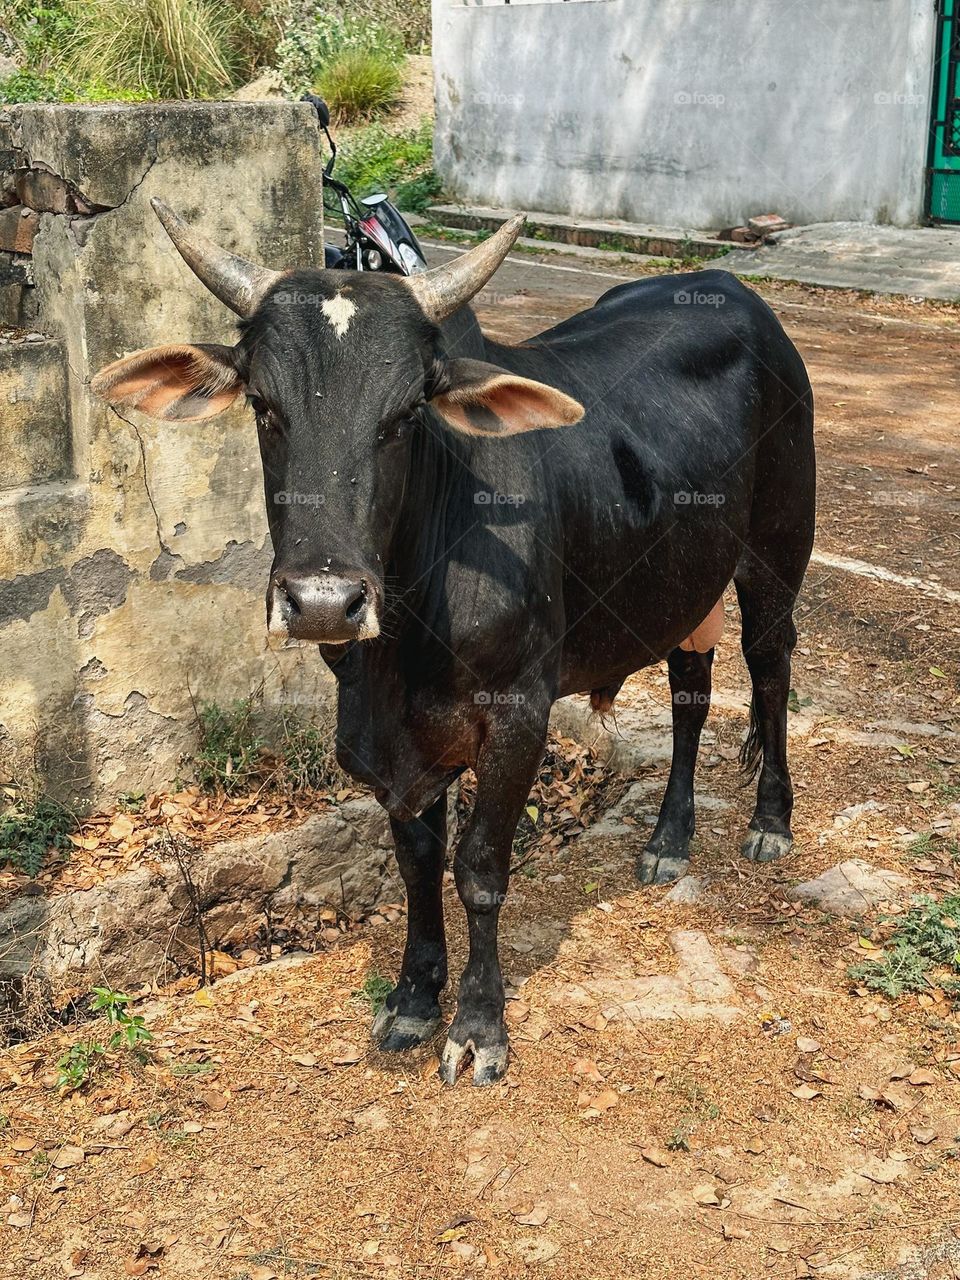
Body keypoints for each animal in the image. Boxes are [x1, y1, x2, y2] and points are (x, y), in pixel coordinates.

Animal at [94, 204, 814, 1085]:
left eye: (408, 414)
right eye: (263, 404)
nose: (324, 602)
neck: (396, 655)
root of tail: (730, 288)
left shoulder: (518, 715)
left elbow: (478, 868)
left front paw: (477, 1024)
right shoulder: (389, 742)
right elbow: (416, 861)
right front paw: (412, 997)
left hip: (776, 557)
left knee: (771, 671)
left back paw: (770, 821)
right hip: (683, 582)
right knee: (691, 691)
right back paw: (670, 839)